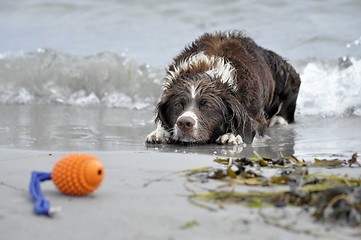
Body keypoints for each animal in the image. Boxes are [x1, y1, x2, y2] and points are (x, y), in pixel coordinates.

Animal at [145, 31, 300, 144]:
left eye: (207, 106)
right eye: (177, 105)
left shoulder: (255, 113)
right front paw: (159, 132)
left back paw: (278, 120)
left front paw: (232, 135)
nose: (184, 123)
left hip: (285, 73)